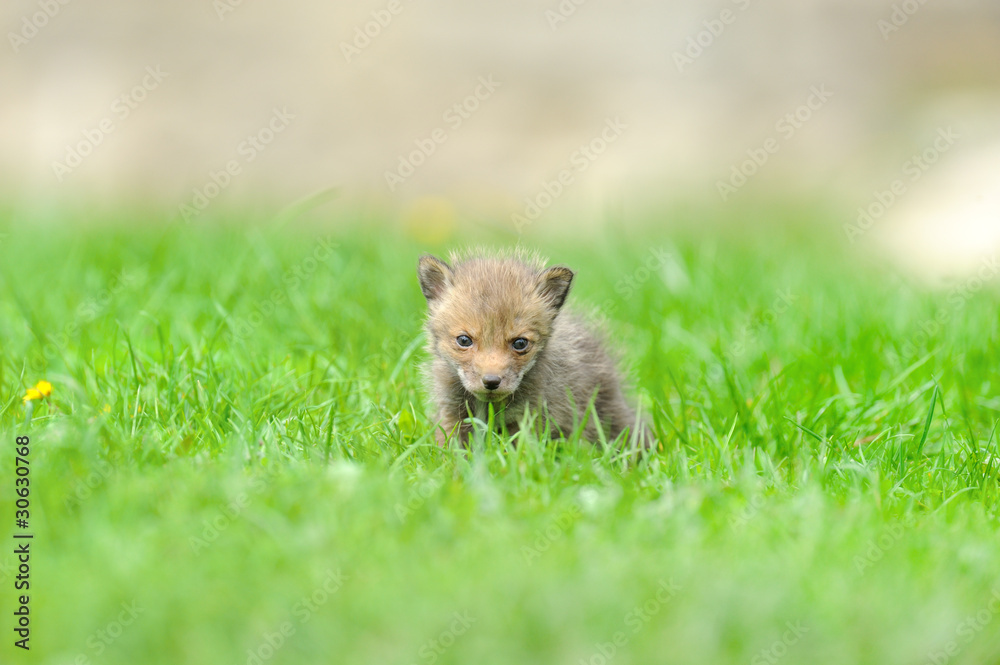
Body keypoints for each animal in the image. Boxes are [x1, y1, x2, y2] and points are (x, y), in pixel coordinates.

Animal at [417, 249, 653, 450]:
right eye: (464, 340)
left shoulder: (532, 416)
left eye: (520, 343)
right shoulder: (452, 412)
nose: (491, 381)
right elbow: (451, 450)